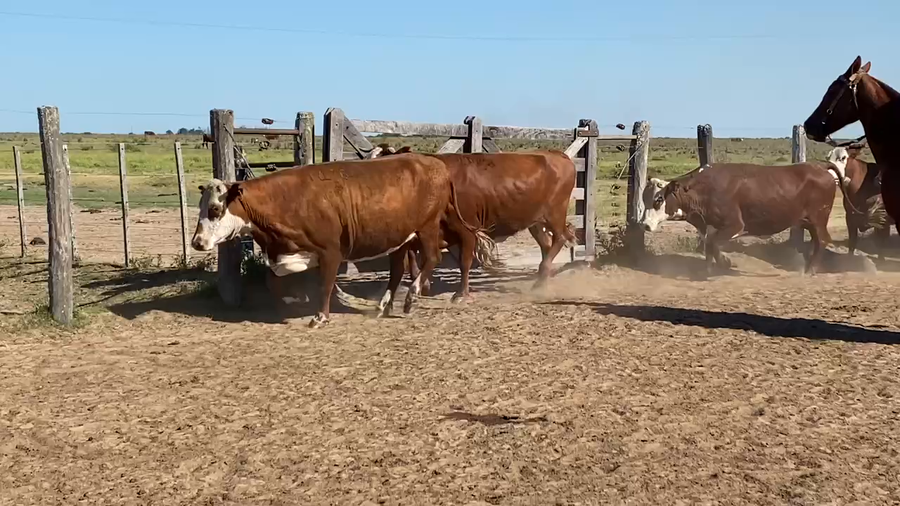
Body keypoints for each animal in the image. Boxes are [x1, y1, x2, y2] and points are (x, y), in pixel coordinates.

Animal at [190, 154, 496, 328]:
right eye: (201, 206)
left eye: (215, 208)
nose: (197, 242)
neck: (288, 200)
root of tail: (437, 165)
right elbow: (274, 282)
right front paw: (291, 304)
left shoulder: (330, 252)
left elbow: (325, 285)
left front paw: (320, 316)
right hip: (400, 238)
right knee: (397, 271)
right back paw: (384, 305)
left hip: (427, 227)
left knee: (431, 257)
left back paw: (411, 297)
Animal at [374, 145, 577, 301]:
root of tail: (556, 154)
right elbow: (415, 256)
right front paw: (423, 284)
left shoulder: (467, 229)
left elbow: (464, 262)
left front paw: (461, 294)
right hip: (535, 221)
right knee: (546, 245)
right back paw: (542, 281)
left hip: (555, 214)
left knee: (560, 238)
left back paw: (543, 273)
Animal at [639, 162, 850, 275]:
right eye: (644, 198)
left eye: (658, 199)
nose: (645, 225)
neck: (705, 189)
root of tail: (820, 167)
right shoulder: (710, 227)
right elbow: (709, 247)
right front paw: (709, 269)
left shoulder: (734, 225)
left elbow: (713, 245)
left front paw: (725, 263)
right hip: (810, 222)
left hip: (818, 219)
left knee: (822, 240)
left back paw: (809, 270)